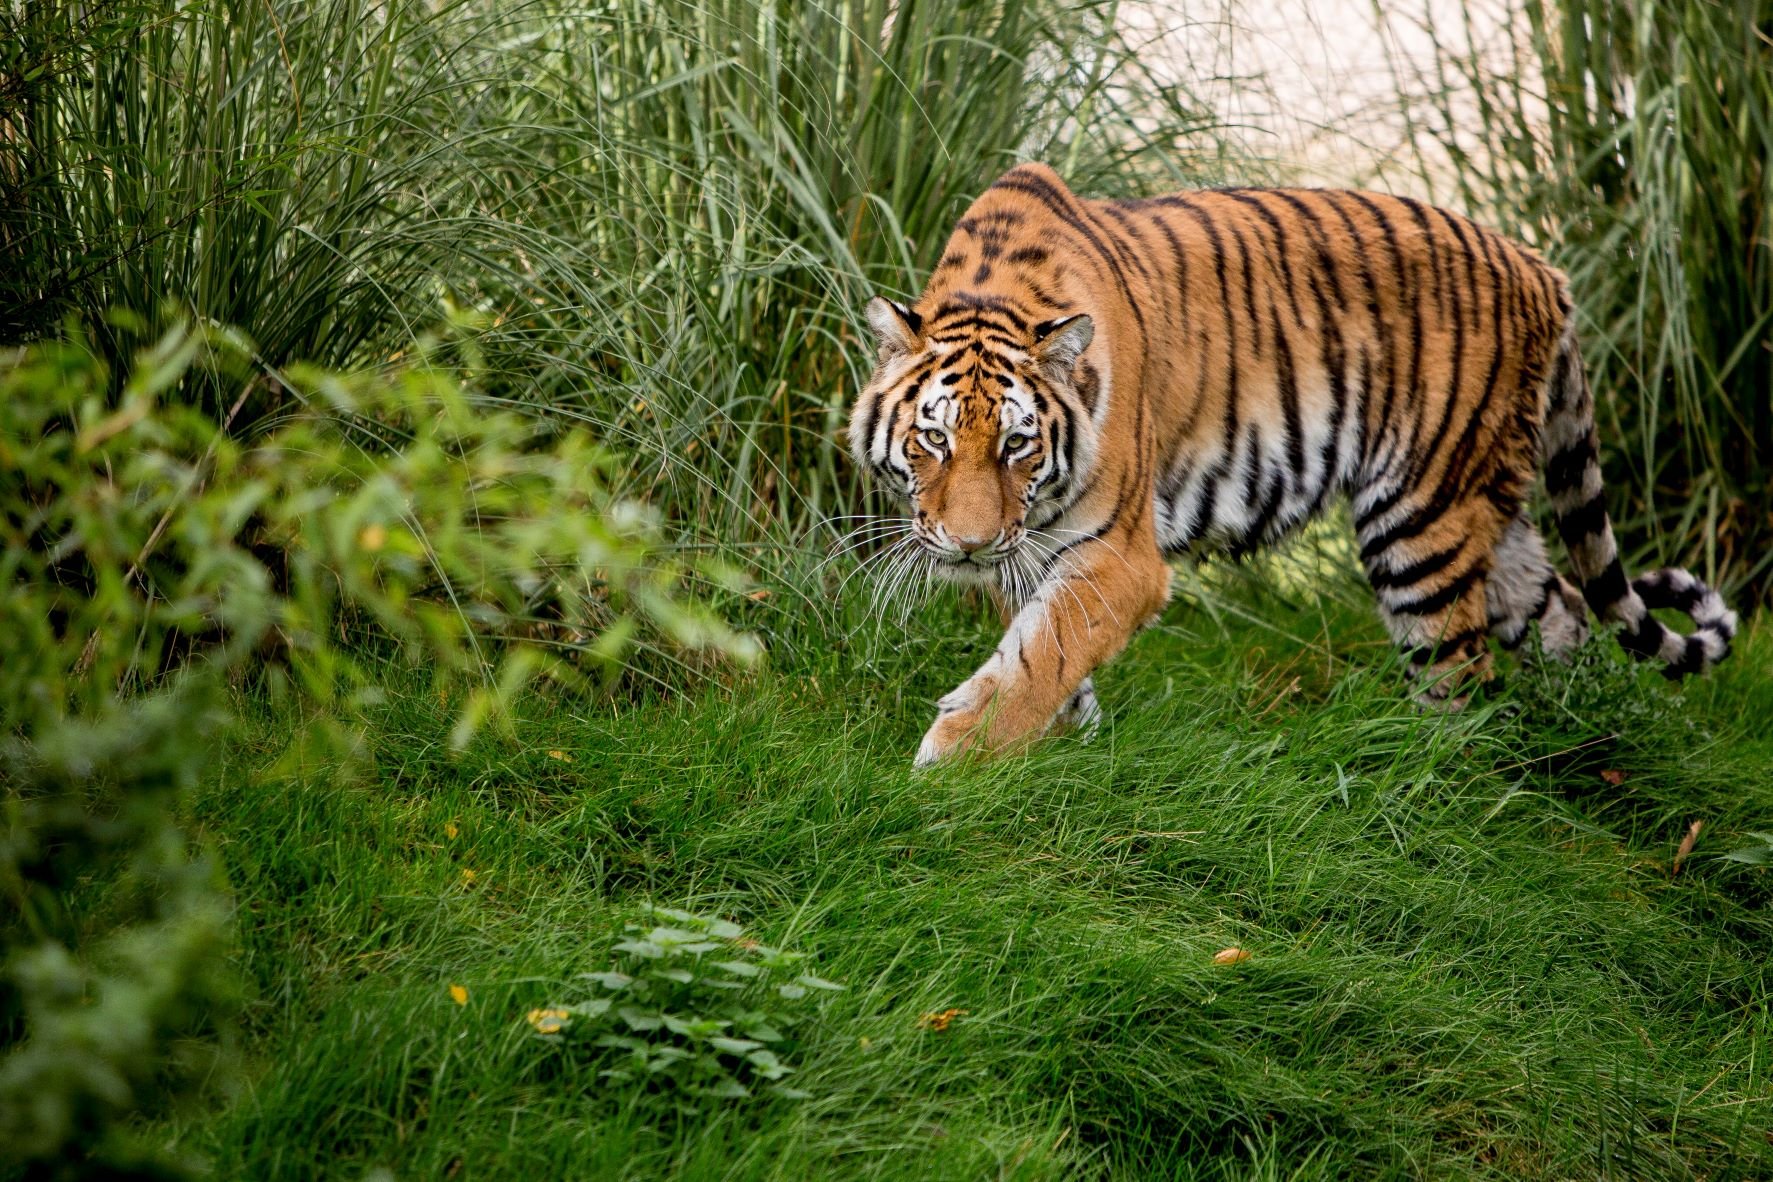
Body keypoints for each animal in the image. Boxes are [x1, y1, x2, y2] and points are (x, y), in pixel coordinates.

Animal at [840, 163, 1730, 769]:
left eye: (1016, 445)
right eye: (934, 441)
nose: (967, 546)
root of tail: (1542, 268)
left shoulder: (1120, 558)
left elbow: (1043, 654)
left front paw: (953, 760)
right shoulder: (1026, 548)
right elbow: (1036, 652)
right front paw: (1067, 740)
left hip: (1422, 519)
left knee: (1460, 675)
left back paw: (1433, 784)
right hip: (1492, 508)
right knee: (1565, 615)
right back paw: (1591, 738)